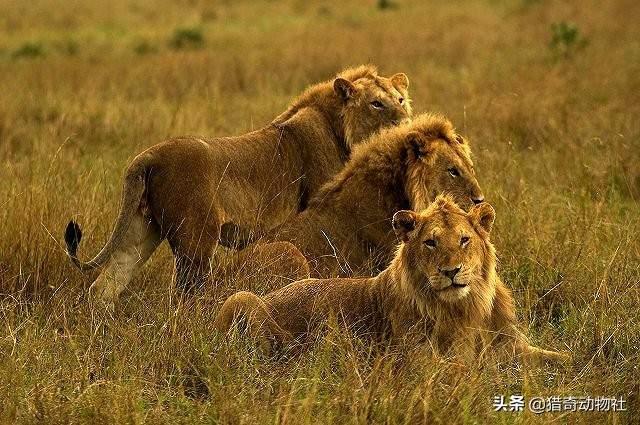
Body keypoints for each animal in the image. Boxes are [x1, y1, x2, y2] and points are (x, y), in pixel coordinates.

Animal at [215, 195, 568, 362]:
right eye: (430, 242)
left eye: (464, 240)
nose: (450, 271)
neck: (467, 307)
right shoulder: (419, 362)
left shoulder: (513, 347)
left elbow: (562, 359)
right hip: (242, 298)